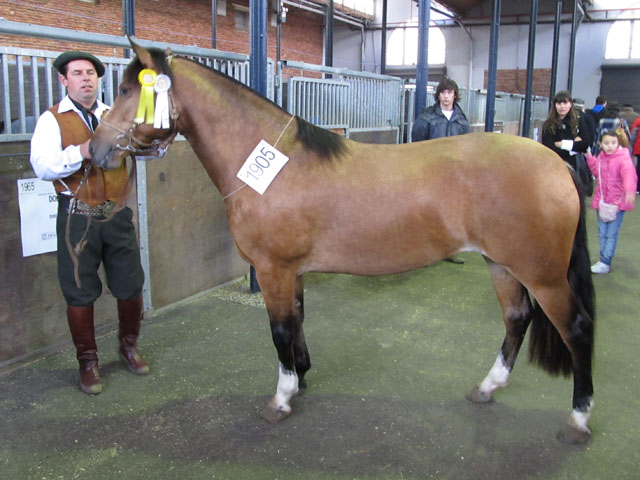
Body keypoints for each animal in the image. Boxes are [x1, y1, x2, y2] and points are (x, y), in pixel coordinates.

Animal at [89, 39, 596, 444]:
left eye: (129, 91)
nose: (96, 151)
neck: (270, 165)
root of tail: (555, 162)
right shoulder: (291, 272)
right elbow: (296, 322)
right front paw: (302, 378)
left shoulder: (273, 269)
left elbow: (279, 332)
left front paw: (281, 398)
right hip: (502, 265)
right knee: (516, 319)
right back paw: (487, 387)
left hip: (543, 275)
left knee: (576, 329)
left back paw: (577, 420)